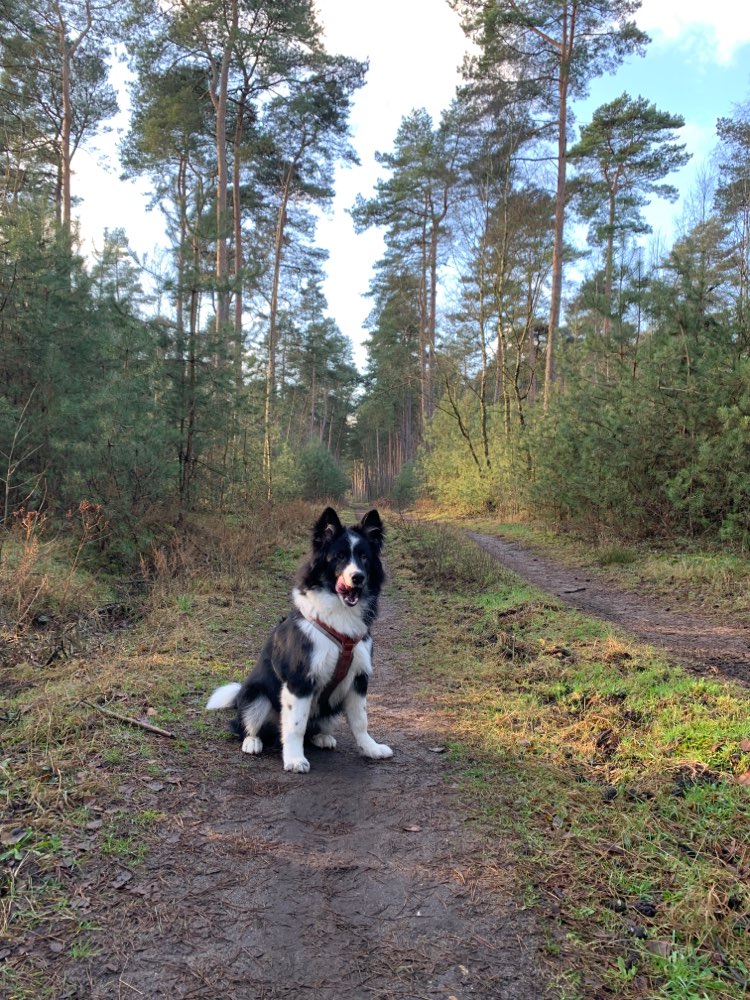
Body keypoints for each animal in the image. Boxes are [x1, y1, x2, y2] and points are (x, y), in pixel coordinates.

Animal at [206, 508, 394, 772]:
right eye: (339, 556)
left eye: (364, 557)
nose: (358, 577)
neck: (339, 615)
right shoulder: (299, 680)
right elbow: (295, 726)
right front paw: (294, 759)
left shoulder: (358, 678)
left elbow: (361, 721)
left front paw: (370, 748)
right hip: (256, 695)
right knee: (247, 724)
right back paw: (252, 742)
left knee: (315, 727)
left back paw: (322, 736)